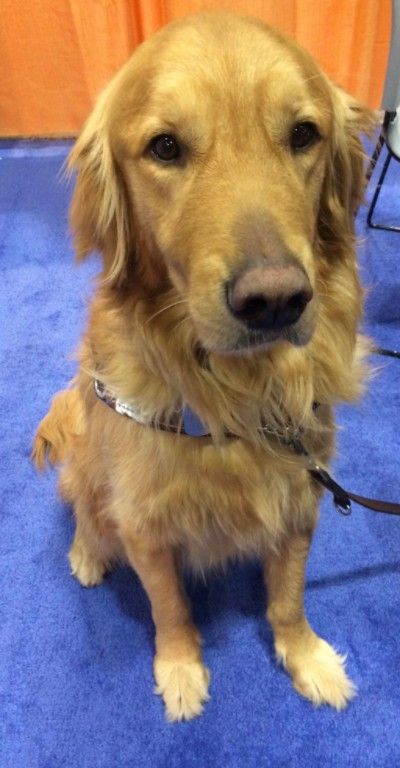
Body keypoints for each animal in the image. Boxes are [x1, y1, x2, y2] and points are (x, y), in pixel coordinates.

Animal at [32, 10, 374, 720]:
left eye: (304, 134)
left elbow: (288, 597)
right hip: (85, 455)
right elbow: (169, 607)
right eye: (165, 147)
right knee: (82, 505)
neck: (234, 395)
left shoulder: (303, 495)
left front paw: (307, 658)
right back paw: (86, 553)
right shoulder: (144, 526)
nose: (275, 300)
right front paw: (181, 669)